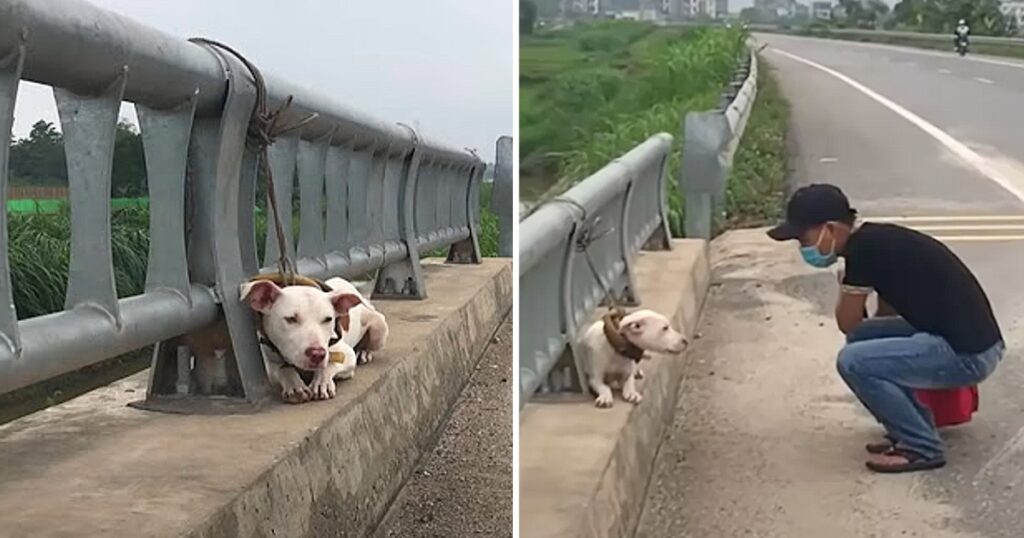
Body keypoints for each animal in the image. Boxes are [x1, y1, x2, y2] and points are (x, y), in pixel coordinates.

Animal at [239, 272, 387, 401]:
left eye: (328, 319)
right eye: (291, 319)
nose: (317, 354)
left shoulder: (346, 354)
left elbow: (330, 362)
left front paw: (322, 382)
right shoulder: (268, 361)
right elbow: (283, 369)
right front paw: (294, 385)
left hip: (379, 327)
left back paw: (363, 352)